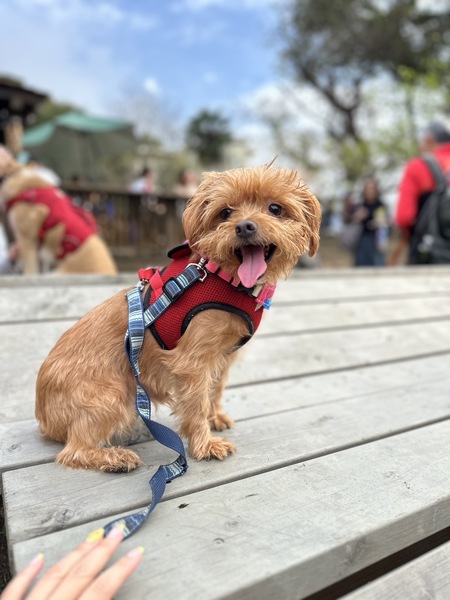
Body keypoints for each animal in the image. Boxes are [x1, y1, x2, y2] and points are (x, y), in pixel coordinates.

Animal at [35, 164, 321, 471]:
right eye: (225, 213)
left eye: (275, 208)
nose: (244, 226)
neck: (224, 278)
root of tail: (43, 417)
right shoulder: (192, 362)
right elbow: (197, 403)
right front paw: (205, 444)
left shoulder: (223, 357)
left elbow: (214, 391)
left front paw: (214, 418)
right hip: (113, 396)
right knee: (72, 451)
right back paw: (114, 457)